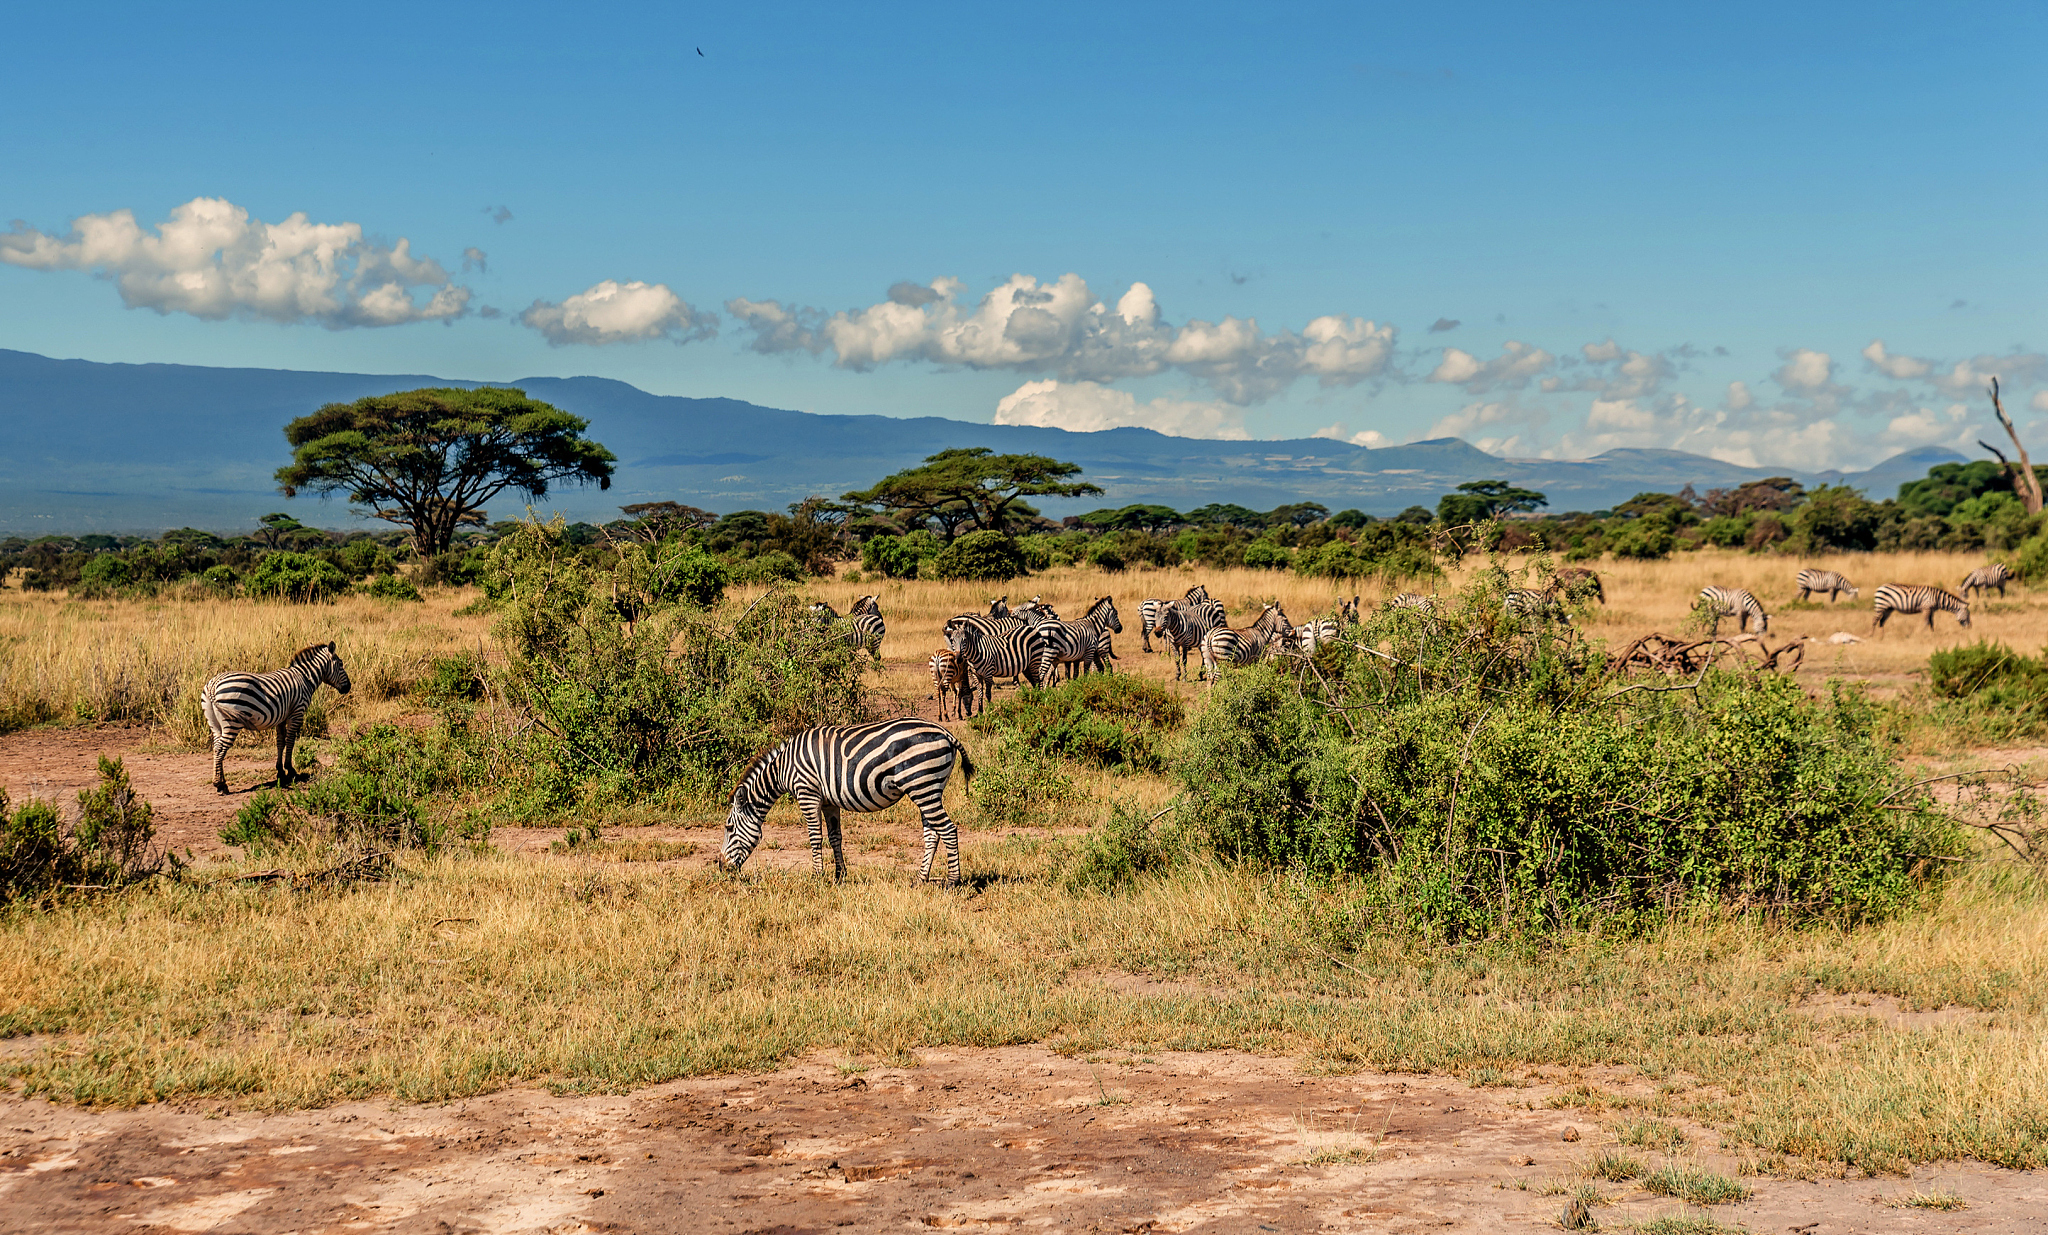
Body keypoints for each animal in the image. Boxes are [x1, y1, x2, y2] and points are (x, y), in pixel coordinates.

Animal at [201, 642, 353, 794]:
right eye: (341, 664)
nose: (348, 687)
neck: (304, 678)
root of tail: (213, 685)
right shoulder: (297, 712)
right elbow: (290, 741)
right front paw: (290, 770)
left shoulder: (281, 718)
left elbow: (280, 742)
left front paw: (280, 771)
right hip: (232, 722)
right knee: (221, 748)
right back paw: (220, 784)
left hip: (215, 723)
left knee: (216, 746)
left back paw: (221, 782)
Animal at [721, 718, 974, 884]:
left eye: (729, 828)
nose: (721, 867)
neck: (784, 769)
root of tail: (945, 732)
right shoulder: (829, 802)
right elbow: (835, 837)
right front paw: (839, 876)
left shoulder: (807, 793)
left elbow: (815, 838)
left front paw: (817, 877)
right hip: (928, 789)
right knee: (932, 833)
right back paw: (920, 879)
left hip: (923, 785)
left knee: (948, 829)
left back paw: (953, 881)